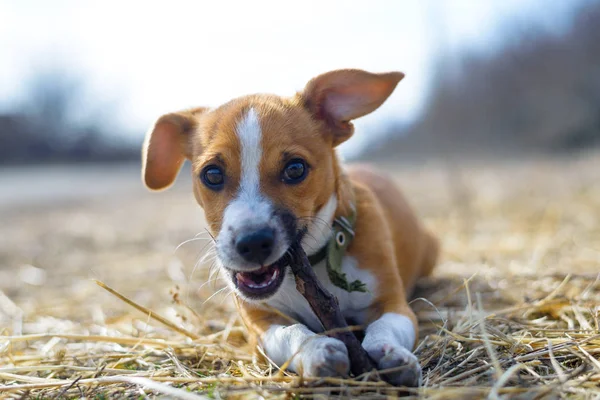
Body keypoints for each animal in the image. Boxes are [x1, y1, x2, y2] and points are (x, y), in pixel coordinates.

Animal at [143, 69, 438, 388]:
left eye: (295, 169)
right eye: (212, 174)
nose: (252, 243)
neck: (313, 263)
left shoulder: (394, 305)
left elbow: (386, 327)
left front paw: (389, 352)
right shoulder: (260, 325)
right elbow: (290, 333)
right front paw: (316, 349)